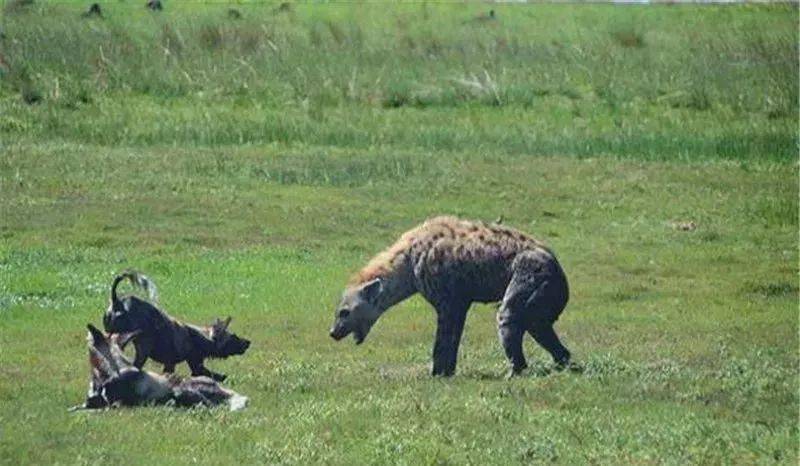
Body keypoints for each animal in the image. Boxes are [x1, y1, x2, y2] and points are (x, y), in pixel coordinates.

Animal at [102, 274, 250, 382]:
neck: (202, 337)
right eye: (234, 337)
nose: (248, 342)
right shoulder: (195, 365)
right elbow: (213, 374)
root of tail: (117, 302)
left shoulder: (171, 364)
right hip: (136, 345)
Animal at [332, 217, 576, 376]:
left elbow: (443, 336)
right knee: (539, 325)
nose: (333, 332)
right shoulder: (459, 300)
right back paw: (561, 363)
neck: (408, 262)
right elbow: (453, 335)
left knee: (510, 316)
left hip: (529, 275)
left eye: (344, 312)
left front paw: (437, 372)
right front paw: (447, 370)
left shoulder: (448, 298)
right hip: (543, 297)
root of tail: (557, 266)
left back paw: (515, 371)